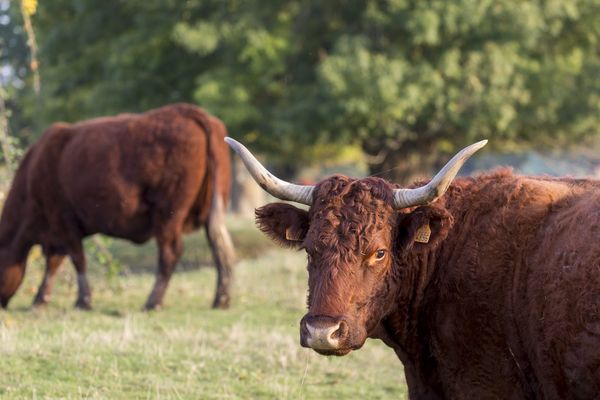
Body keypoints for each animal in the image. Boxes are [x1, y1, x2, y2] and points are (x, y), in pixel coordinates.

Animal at [0, 103, 236, 310]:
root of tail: (187, 111)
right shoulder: (57, 231)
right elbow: (55, 263)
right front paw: (41, 299)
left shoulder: (63, 221)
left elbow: (76, 260)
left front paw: (82, 301)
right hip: (213, 207)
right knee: (221, 248)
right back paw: (221, 300)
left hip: (168, 213)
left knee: (170, 253)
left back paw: (152, 302)